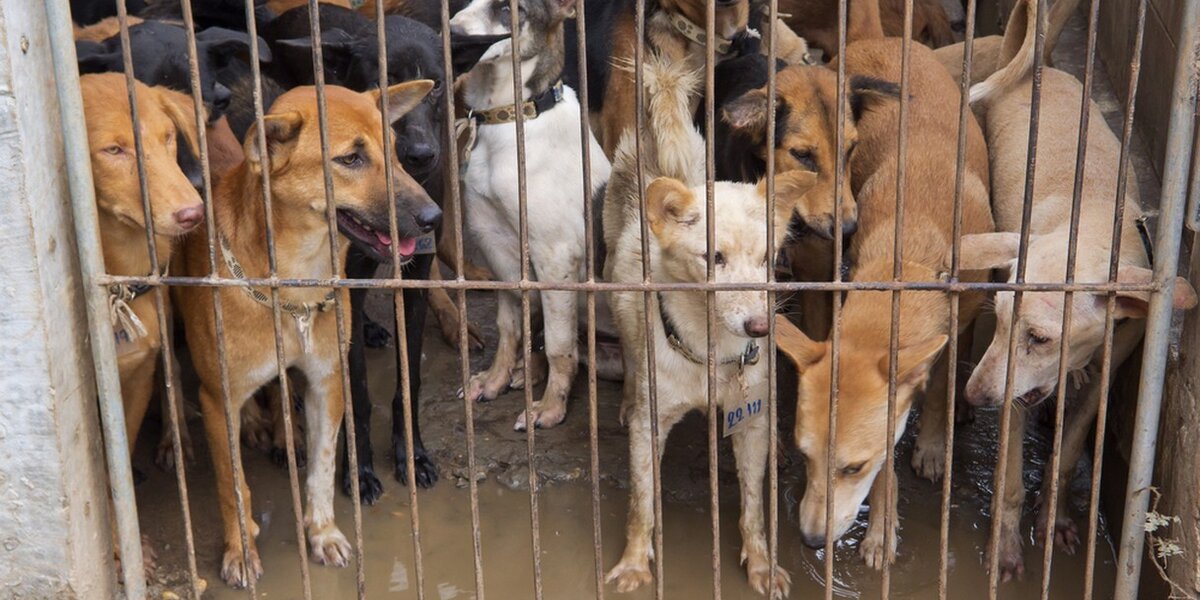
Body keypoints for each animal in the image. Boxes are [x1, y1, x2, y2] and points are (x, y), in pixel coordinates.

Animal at [174, 78, 436, 585]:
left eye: (394, 150)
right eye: (350, 159)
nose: (434, 217)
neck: (296, 280)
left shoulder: (326, 382)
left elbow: (322, 467)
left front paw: (323, 533)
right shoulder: (217, 399)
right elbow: (232, 485)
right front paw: (240, 551)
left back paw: (283, 435)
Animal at [453, 0, 614, 432]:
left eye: (511, 9)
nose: (453, 33)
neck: (511, 117)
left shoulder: (556, 256)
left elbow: (560, 347)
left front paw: (550, 408)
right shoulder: (497, 246)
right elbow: (509, 328)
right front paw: (494, 378)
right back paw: (525, 371)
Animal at [777, 37, 993, 566]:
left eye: (852, 468)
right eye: (805, 455)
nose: (809, 540)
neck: (909, 257)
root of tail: (884, 40)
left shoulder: (951, 327)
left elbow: (936, 390)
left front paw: (933, 444)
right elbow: (888, 465)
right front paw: (880, 528)